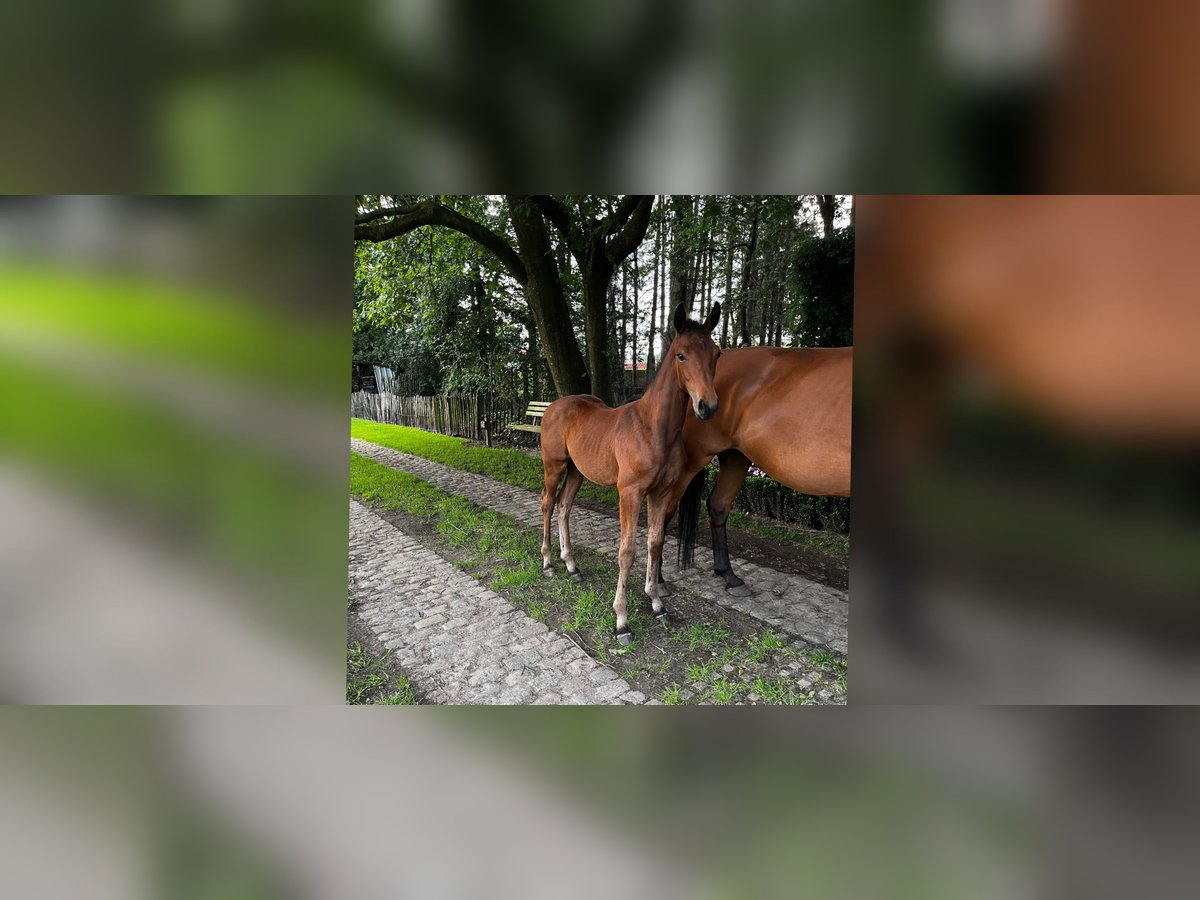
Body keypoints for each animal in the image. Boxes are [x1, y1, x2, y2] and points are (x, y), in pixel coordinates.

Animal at [542, 307, 720, 643]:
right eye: (681, 355)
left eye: (717, 354)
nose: (708, 406)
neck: (653, 429)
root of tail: (552, 406)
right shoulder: (630, 493)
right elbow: (627, 551)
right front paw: (622, 619)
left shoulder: (661, 492)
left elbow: (655, 543)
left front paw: (657, 603)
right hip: (554, 465)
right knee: (547, 505)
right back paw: (547, 561)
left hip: (576, 471)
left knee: (563, 506)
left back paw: (571, 564)